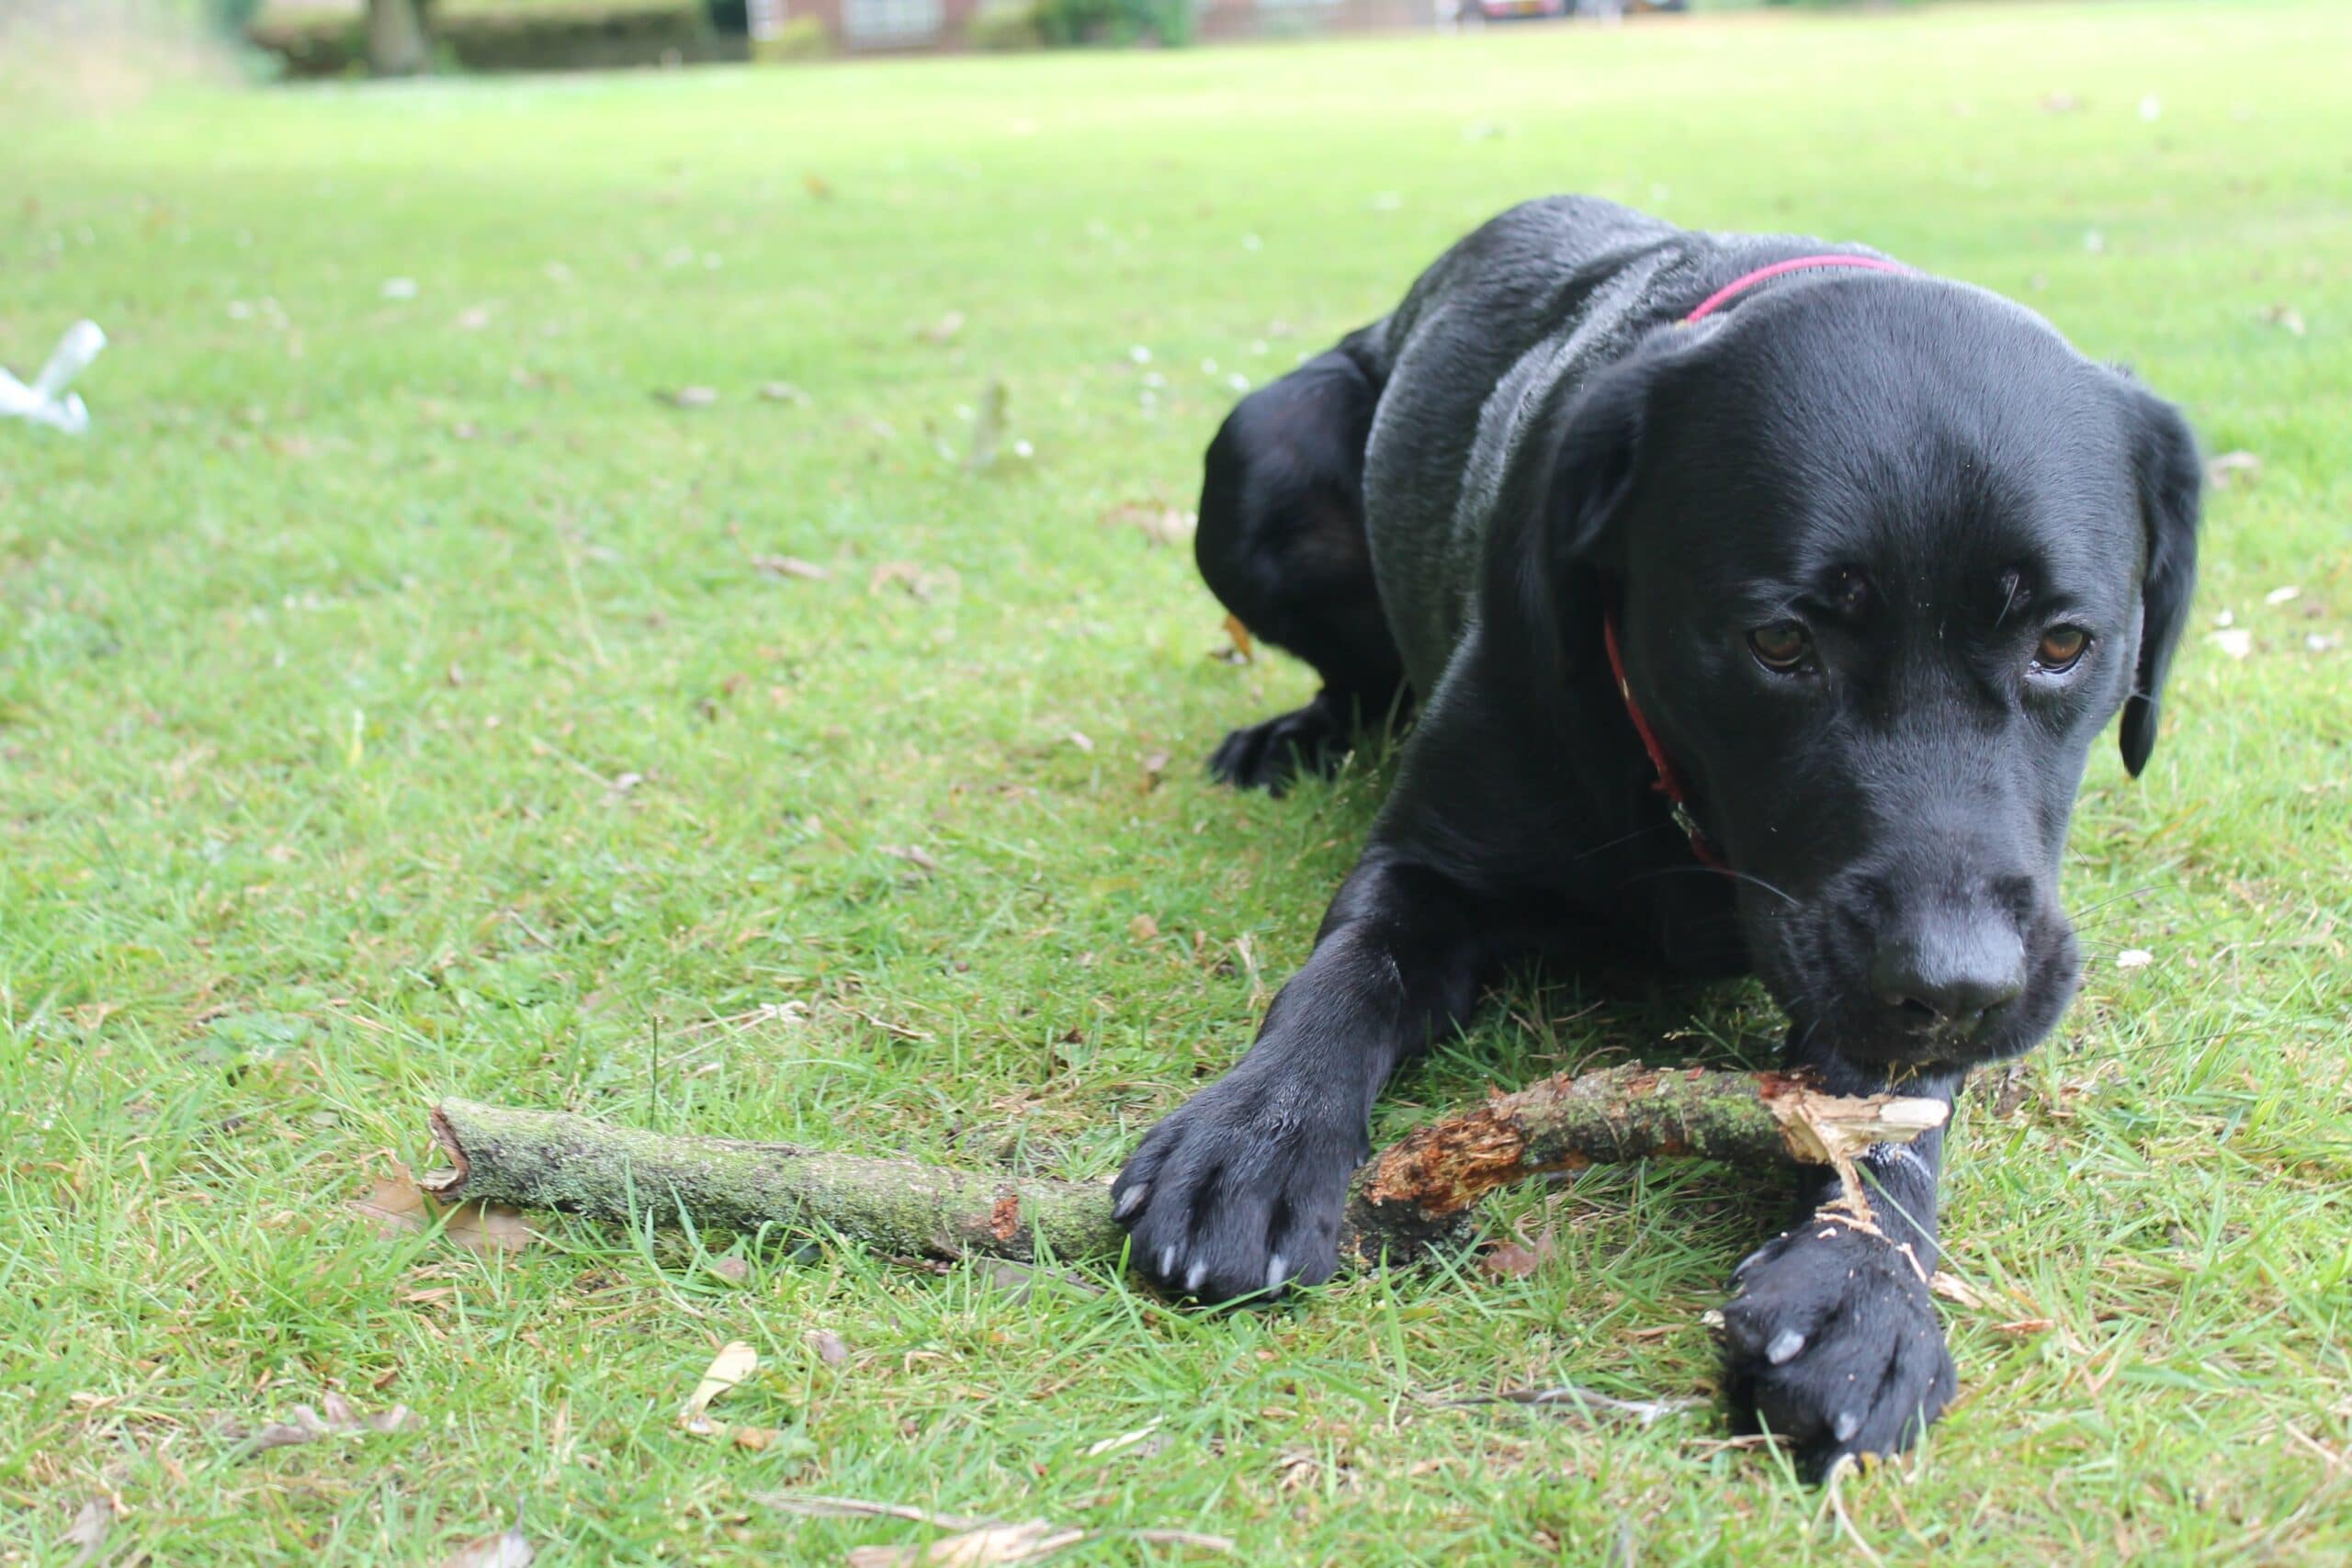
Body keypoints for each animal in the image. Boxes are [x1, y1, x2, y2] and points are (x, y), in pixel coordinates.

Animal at [1110, 192, 2191, 1476]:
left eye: (2063, 644)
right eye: (1779, 641)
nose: (1956, 987)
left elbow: (1890, 1120)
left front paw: (1863, 1287)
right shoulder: (1427, 862)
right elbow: (1342, 979)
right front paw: (1258, 1136)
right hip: (1262, 446)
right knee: (1358, 676)